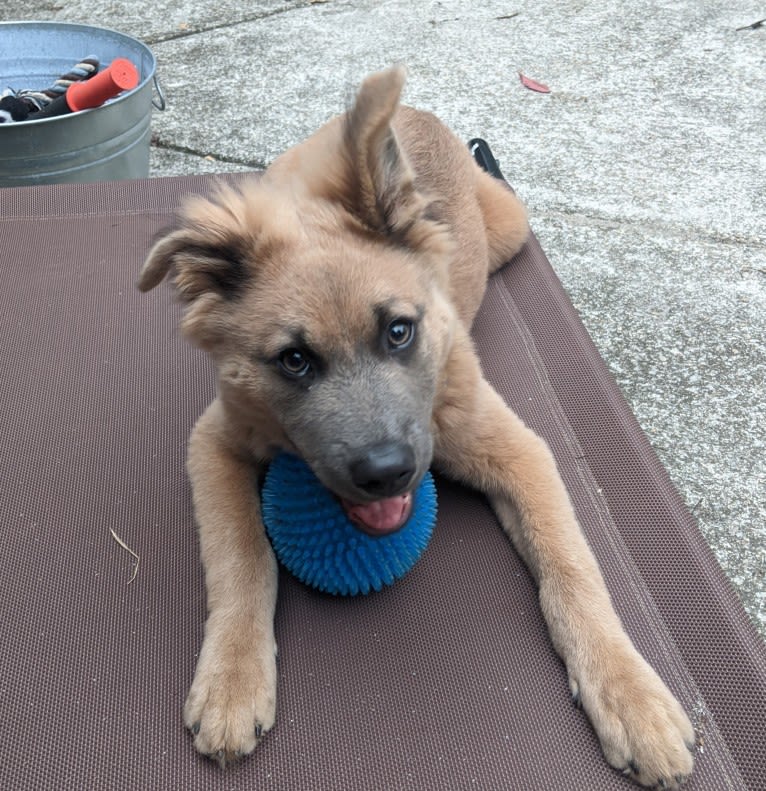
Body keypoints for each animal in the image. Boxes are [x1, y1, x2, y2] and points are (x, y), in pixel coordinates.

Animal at [138, 66, 696, 784]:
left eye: (399, 331)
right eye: (294, 360)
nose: (386, 474)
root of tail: (419, 115)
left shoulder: (521, 452)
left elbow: (573, 567)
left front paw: (629, 692)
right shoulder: (216, 441)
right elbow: (240, 556)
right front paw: (233, 678)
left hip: (509, 229)